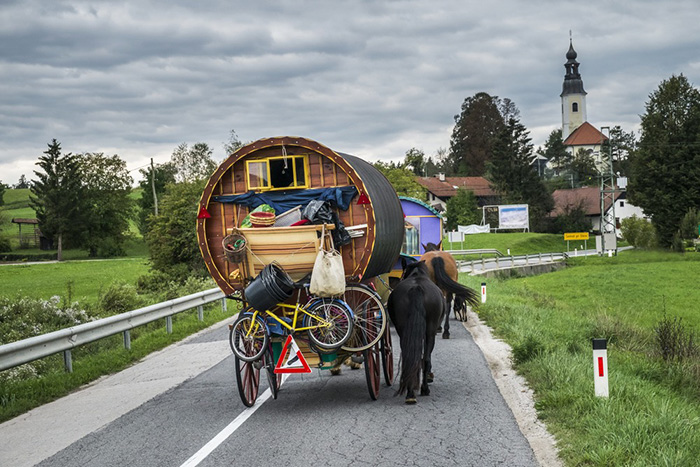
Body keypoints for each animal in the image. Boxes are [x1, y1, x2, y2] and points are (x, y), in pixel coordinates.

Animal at [388, 262, 442, 404]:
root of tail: (416, 287)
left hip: (403, 331)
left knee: (409, 358)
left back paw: (410, 393)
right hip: (430, 332)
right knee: (426, 358)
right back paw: (423, 389)